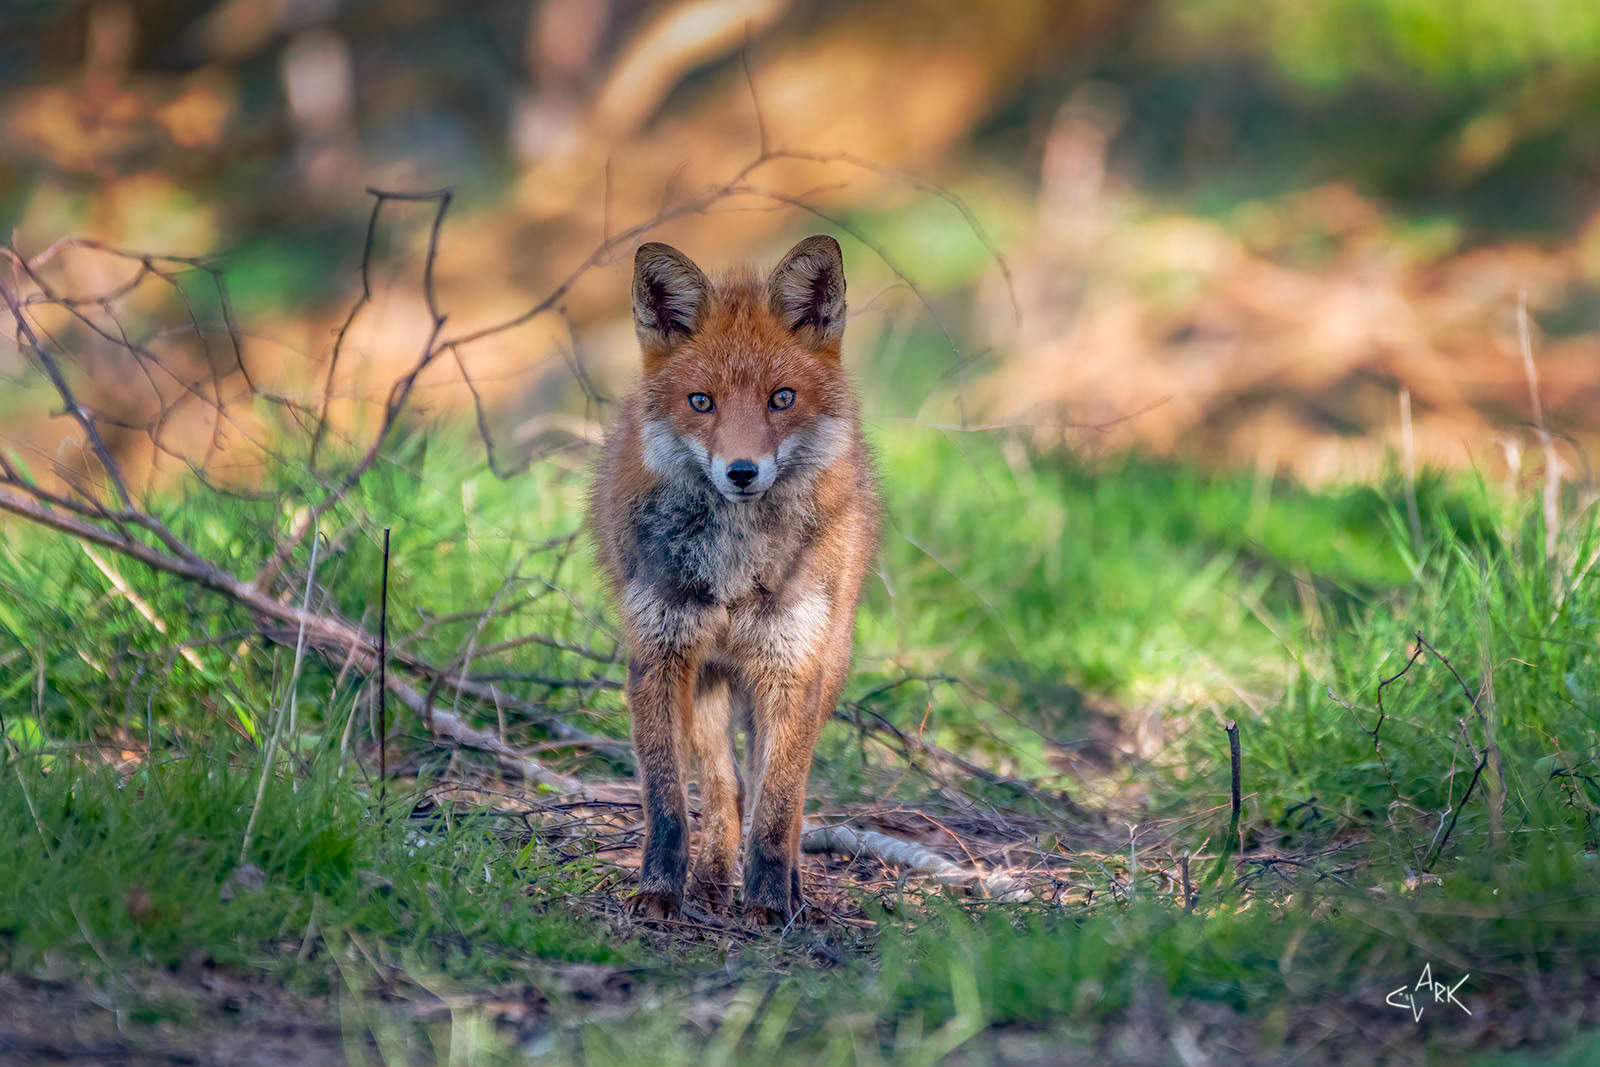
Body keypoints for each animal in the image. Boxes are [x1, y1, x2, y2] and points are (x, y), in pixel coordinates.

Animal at [588, 234, 881, 924]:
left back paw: (783, 888)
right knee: (726, 788)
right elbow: (668, 801)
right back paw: (712, 881)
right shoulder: (659, 654)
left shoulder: (791, 663)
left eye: (782, 398)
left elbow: (778, 809)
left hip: (822, 664)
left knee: (780, 795)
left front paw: (770, 905)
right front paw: (660, 891)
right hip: (709, 680)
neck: (735, 565)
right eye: (702, 402)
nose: (742, 472)